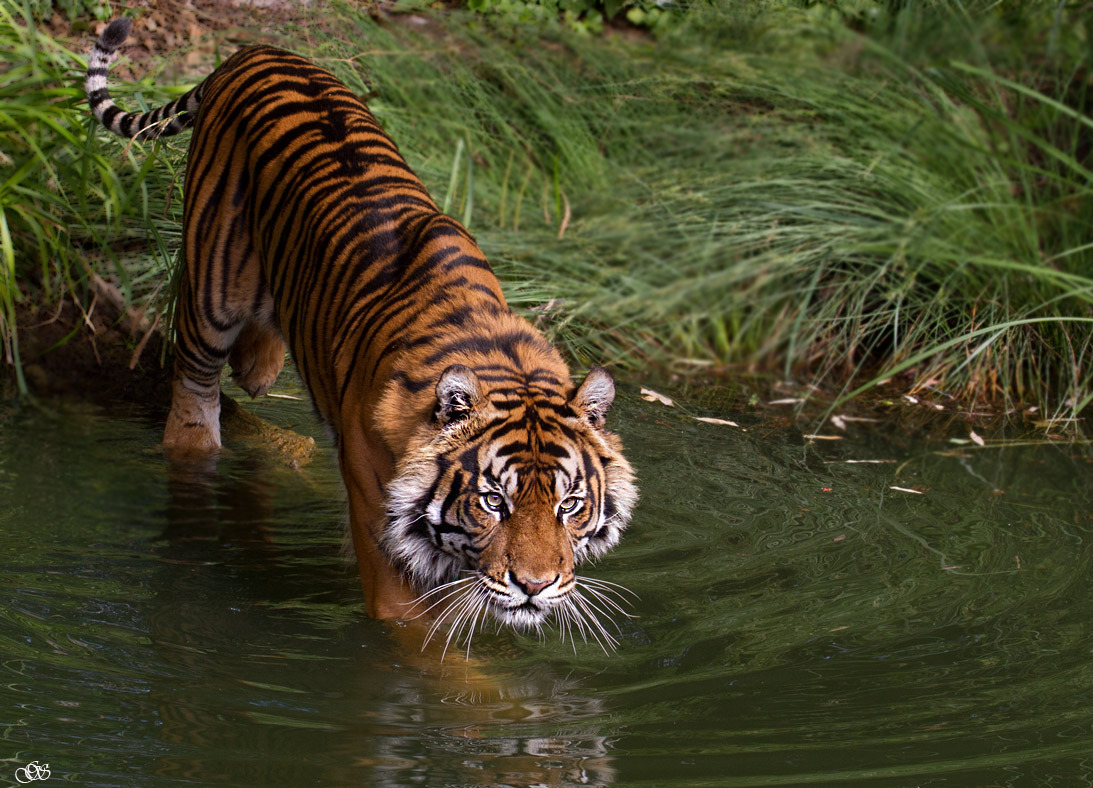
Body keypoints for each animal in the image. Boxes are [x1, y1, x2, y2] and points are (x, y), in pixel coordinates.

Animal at [85, 18, 638, 645]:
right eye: (493, 501)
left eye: (570, 504)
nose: (536, 585)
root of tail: (255, 50)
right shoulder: (388, 542)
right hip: (211, 288)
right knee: (194, 389)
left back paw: (258, 367)